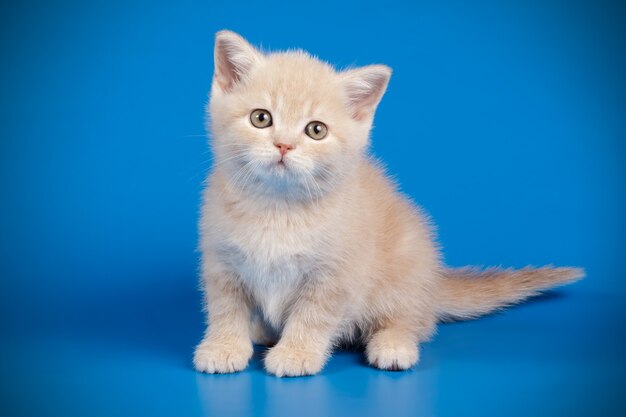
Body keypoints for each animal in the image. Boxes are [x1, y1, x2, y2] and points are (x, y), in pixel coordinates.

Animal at [193, 30, 584, 376]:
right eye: (261, 118)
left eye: (316, 130)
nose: (284, 145)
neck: (278, 206)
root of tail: (433, 283)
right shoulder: (221, 262)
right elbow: (225, 308)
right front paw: (224, 346)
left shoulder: (337, 274)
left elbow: (314, 315)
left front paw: (296, 353)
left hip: (405, 269)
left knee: (412, 322)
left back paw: (393, 345)